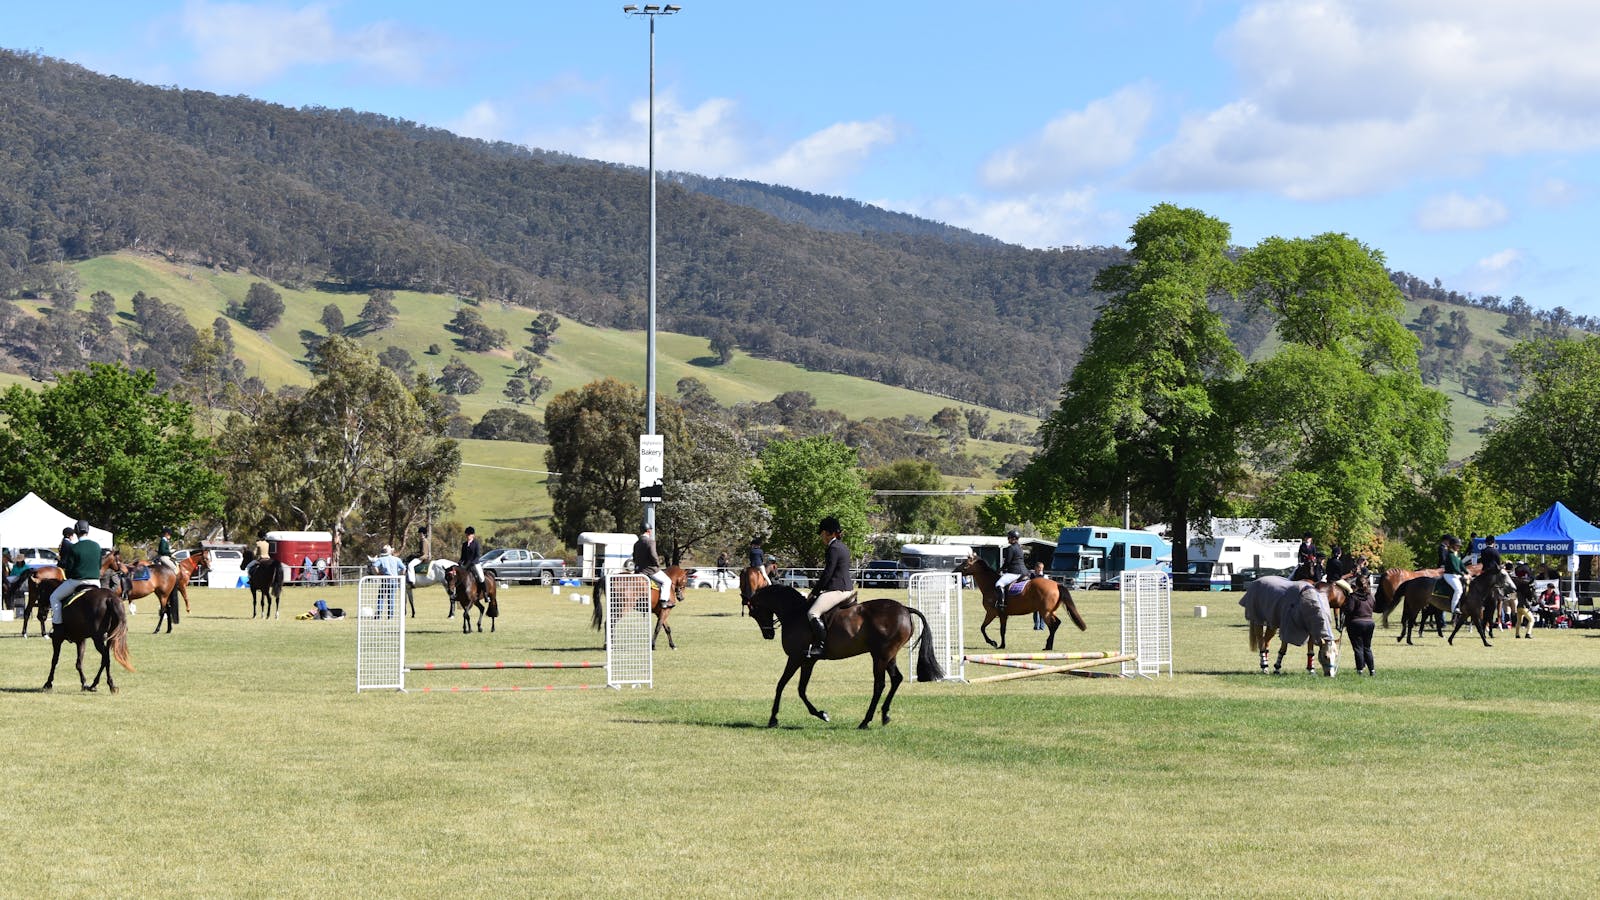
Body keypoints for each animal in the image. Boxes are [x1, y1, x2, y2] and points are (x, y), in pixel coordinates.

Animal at [742, 582, 940, 730]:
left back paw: (865, 721)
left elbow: (782, 685)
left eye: (753, 612)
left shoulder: (796, 658)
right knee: (896, 679)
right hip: (889, 655)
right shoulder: (808, 661)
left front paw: (773, 719)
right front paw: (821, 714)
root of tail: (905, 609)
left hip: (880, 656)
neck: (794, 612)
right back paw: (884, 715)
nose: (768, 634)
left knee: (879, 685)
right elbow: (800, 689)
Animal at [953, 550, 1094, 646]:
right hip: (1049, 611)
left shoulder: (993, 612)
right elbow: (997, 629)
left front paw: (994, 643)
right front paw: (1000, 644)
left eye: (965, 563)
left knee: (1053, 626)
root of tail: (1056, 584)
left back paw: (1048, 646)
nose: (954, 572)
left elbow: (987, 629)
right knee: (1057, 623)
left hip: (1045, 612)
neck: (990, 585)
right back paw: (1049, 645)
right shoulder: (1000, 614)